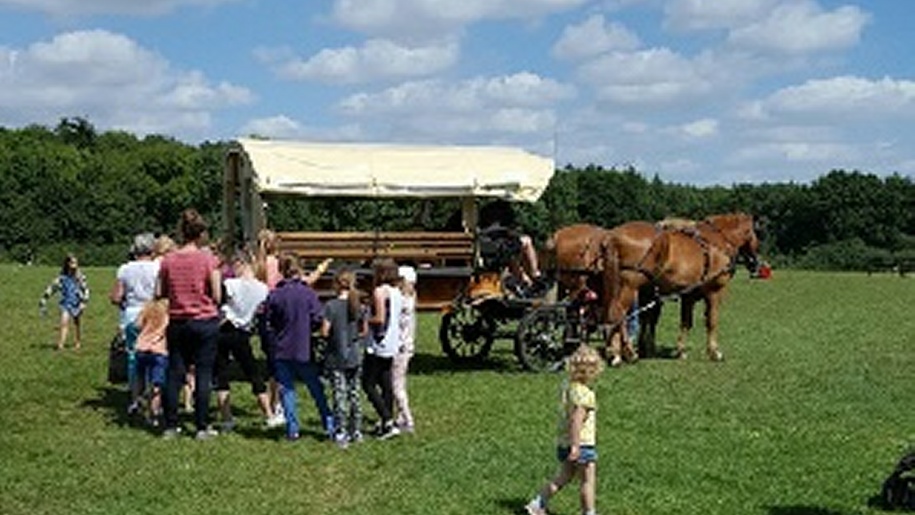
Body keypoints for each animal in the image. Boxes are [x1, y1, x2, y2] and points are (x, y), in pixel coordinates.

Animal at [604, 214, 764, 362]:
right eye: (755, 232)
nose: (755, 263)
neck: (718, 241)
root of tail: (614, 235)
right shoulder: (714, 291)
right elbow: (711, 321)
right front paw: (714, 351)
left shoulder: (689, 295)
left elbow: (686, 322)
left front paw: (681, 351)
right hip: (630, 285)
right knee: (620, 313)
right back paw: (626, 352)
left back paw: (617, 351)